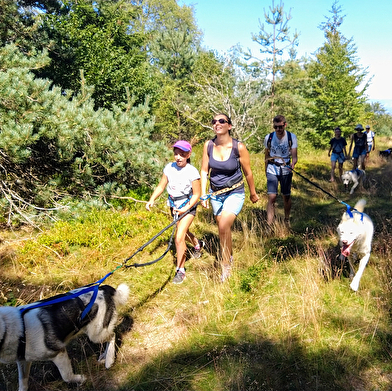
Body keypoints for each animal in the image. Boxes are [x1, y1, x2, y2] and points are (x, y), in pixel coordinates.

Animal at [0, 284, 129, 390]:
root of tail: (103, 288)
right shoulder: (23, 361)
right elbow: (23, 384)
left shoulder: (59, 353)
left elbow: (66, 376)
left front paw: (80, 379)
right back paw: (104, 356)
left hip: (96, 334)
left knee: (112, 335)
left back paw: (109, 359)